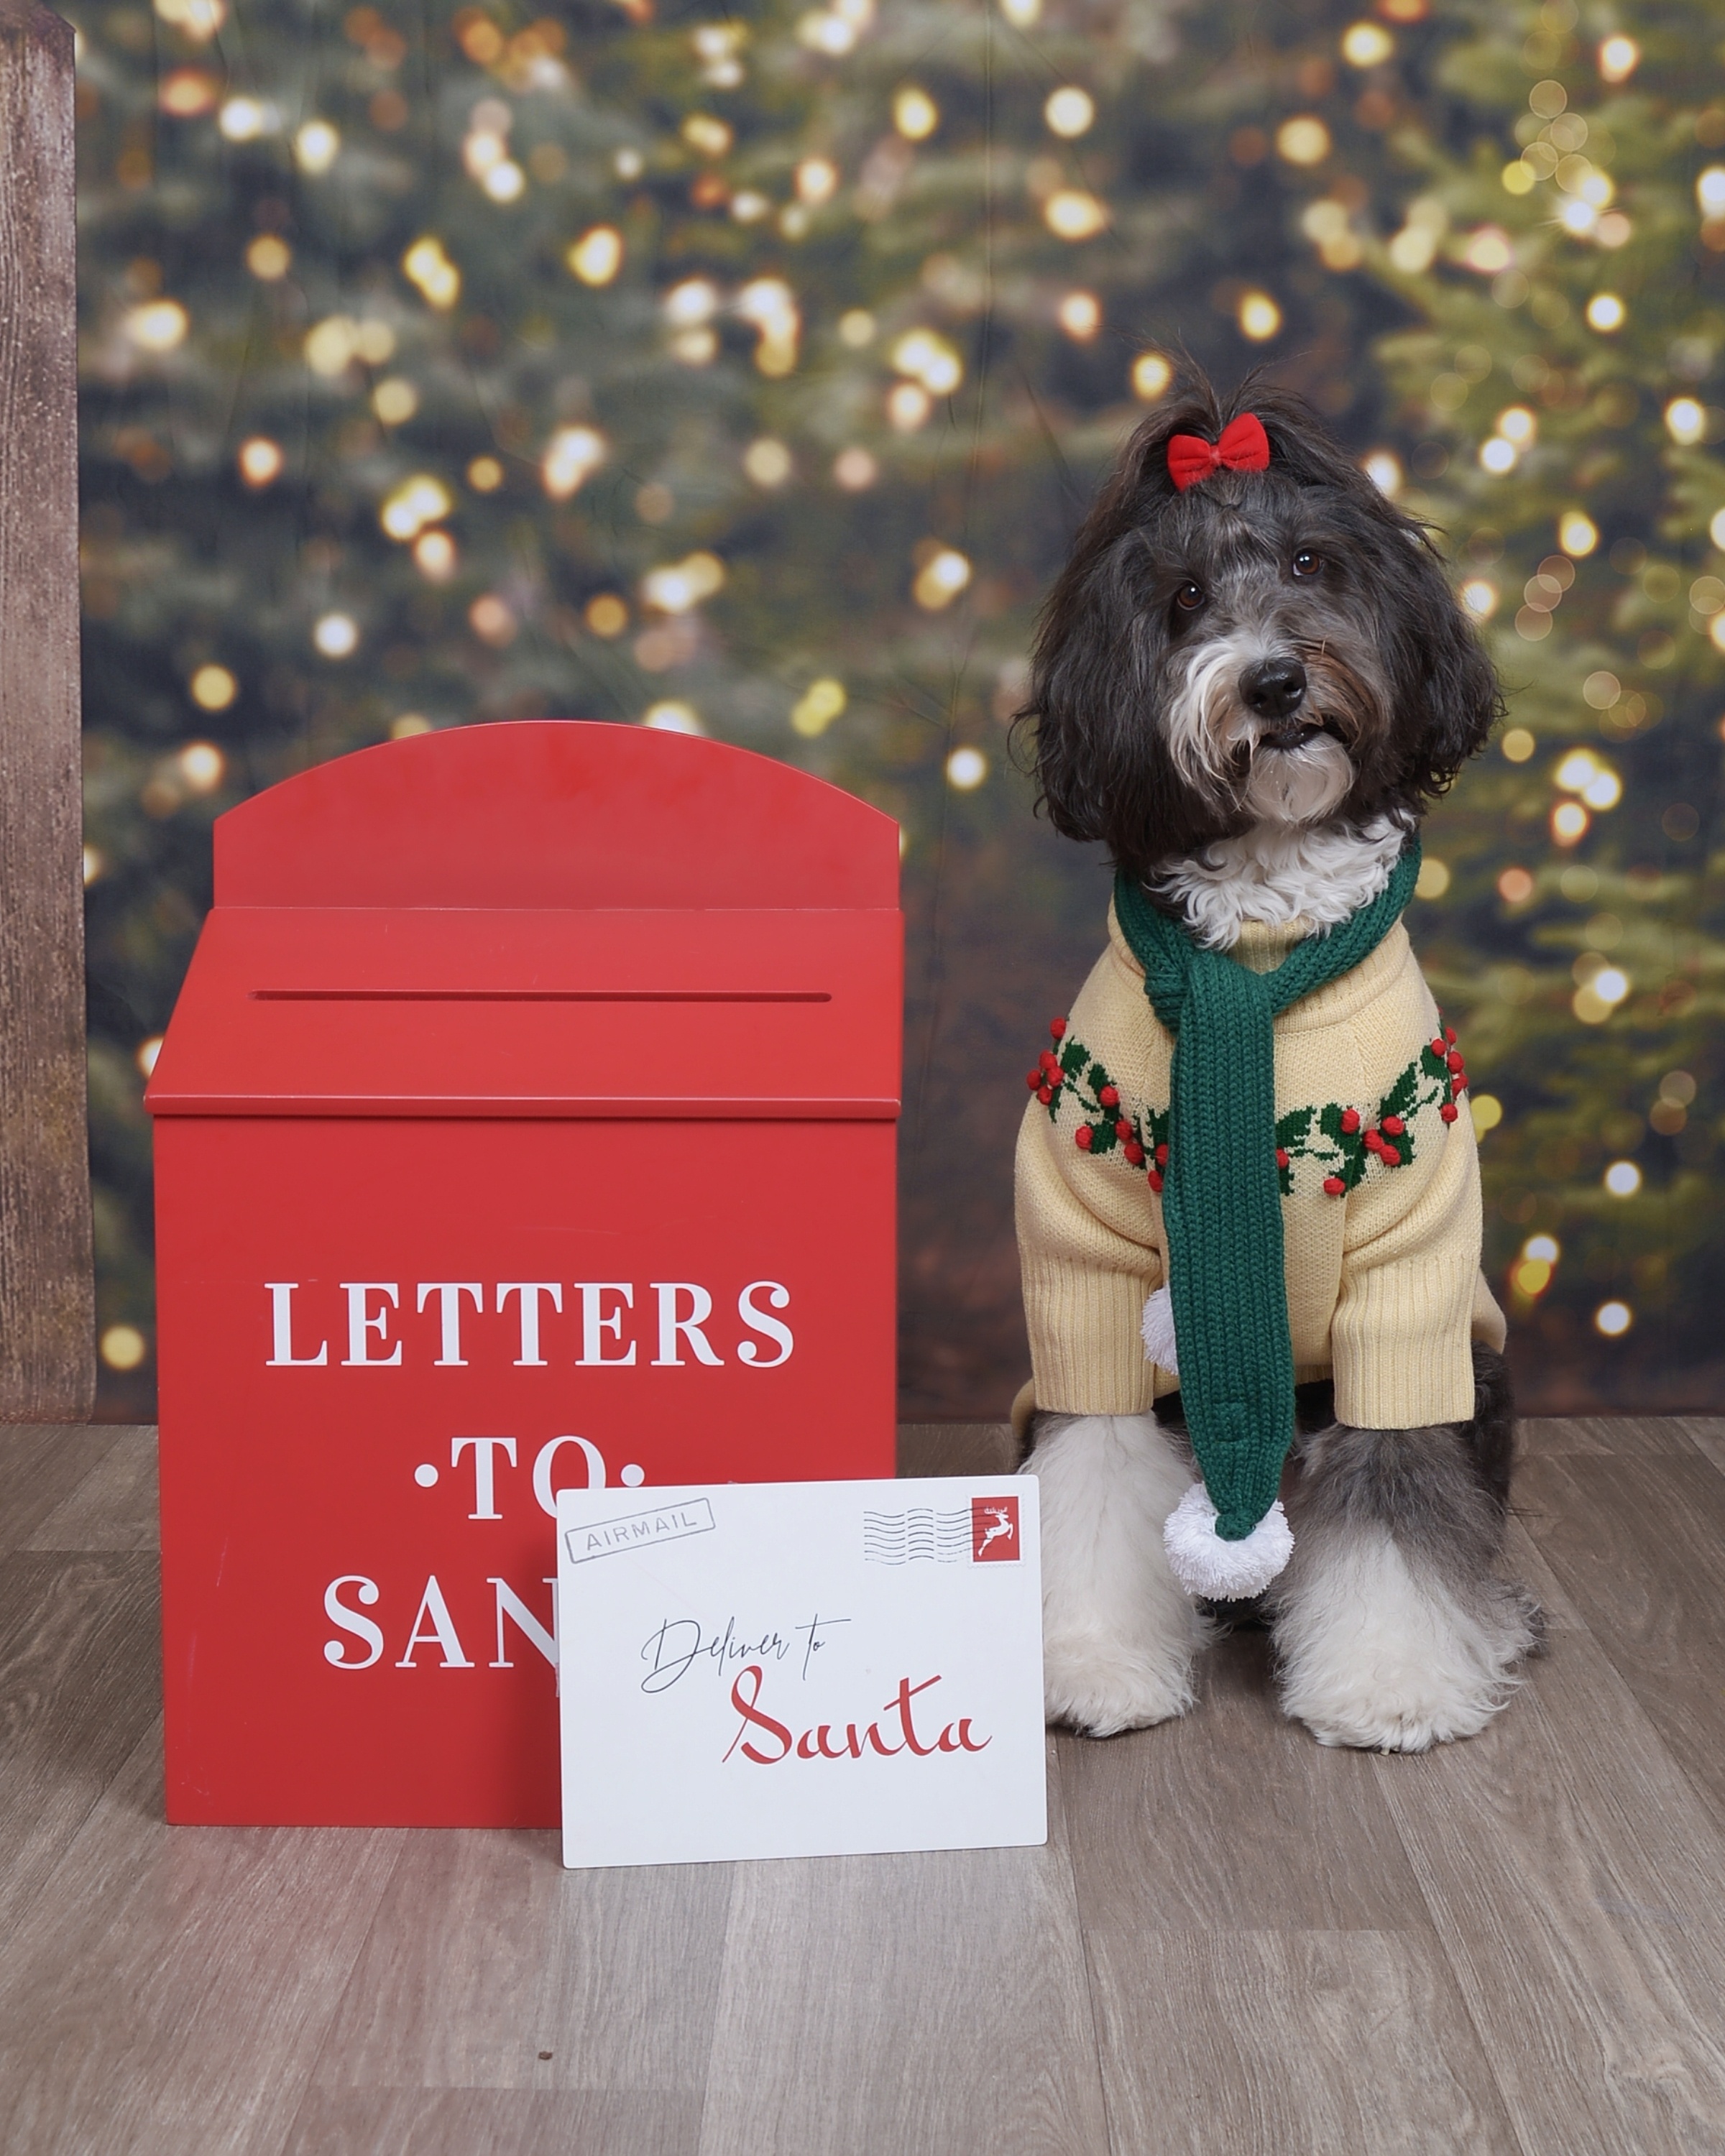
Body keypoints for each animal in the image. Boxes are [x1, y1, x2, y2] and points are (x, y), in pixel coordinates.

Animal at [1005, 371, 1544, 1751]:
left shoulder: (1408, 1288)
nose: (1276, 682)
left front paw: (1394, 1681)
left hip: (1481, 1368)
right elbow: (1093, 1480)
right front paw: (1087, 1663)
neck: (1258, 945)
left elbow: (1398, 1494)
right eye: (1185, 597)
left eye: (1311, 562)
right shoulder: (1086, 1275)